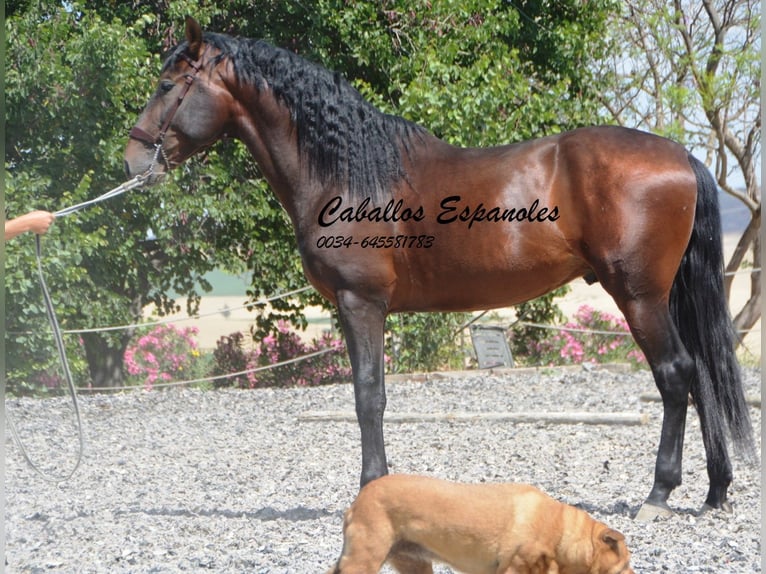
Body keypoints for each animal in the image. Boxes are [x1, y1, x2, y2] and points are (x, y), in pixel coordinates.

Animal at [126, 18, 756, 520]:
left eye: (167, 86)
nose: (133, 160)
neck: (350, 171)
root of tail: (681, 155)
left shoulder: (360, 302)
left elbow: (368, 395)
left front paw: (371, 488)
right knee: (701, 373)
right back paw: (715, 490)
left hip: (640, 297)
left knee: (676, 376)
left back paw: (659, 495)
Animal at [330, 476, 636, 574]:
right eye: (624, 565)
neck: (561, 533)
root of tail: (355, 504)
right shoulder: (513, 569)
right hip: (364, 560)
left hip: (413, 564)